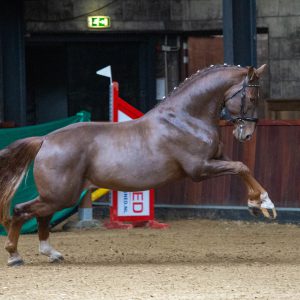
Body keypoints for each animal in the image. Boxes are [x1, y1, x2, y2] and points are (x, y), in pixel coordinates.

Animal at [0, 63, 276, 264]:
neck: (186, 118)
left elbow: (243, 168)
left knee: (40, 216)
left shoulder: (216, 159)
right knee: (21, 211)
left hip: (57, 195)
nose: (246, 135)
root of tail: (46, 139)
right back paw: (15, 255)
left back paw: (51, 253)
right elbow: (241, 166)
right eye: (252, 97)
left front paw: (257, 204)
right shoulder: (200, 169)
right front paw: (264, 203)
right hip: (61, 194)